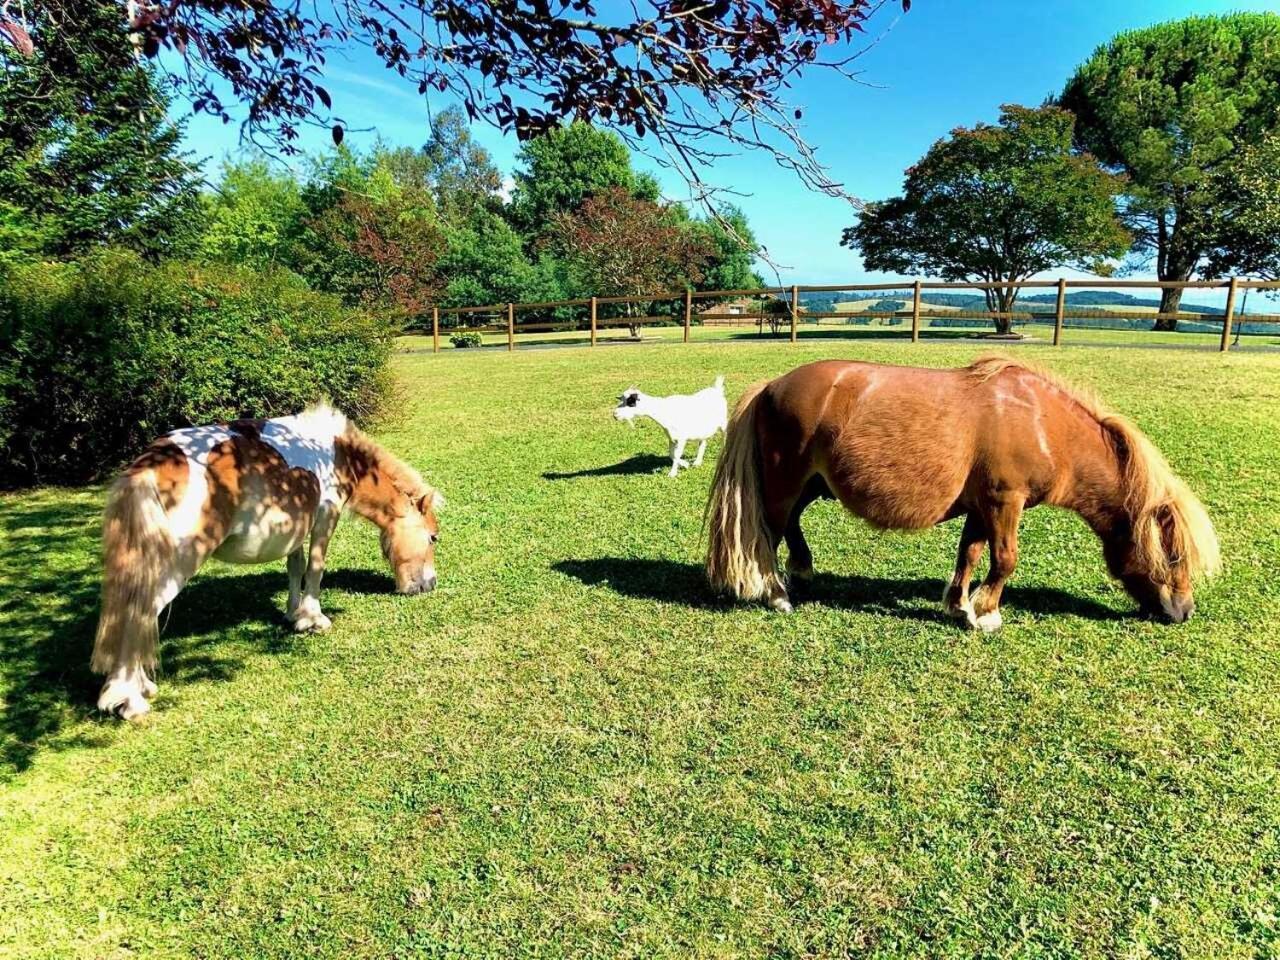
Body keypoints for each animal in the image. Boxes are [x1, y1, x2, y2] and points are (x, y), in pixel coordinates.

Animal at [90, 401, 440, 716]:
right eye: (433, 537)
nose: (429, 585)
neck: (337, 452)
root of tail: (151, 465)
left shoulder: (298, 525)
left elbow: (295, 567)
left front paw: (294, 615)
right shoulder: (326, 515)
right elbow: (315, 569)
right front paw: (314, 620)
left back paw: (142, 686)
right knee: (139, 612)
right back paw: (129, 700)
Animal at [711, 360, 1218, 632]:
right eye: (1174, 558)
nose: (1184, 612)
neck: (1042, 424)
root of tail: (772, 386)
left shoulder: (982, 507)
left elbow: (970, 554)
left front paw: (960, 605)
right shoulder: (1005, 502)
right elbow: (1005, 559)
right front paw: (987, 613)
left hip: (811, 486)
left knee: (790, 527)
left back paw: (802, 570)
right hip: (785, 482)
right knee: (769, 534)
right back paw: (777, 594)